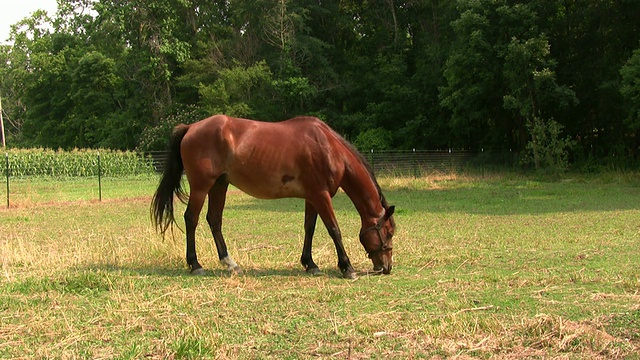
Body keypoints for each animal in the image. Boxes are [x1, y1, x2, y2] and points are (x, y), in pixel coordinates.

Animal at [152, 115, 396, 278]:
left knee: (214, 220)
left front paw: (310, 263)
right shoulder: (321, 196)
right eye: (389, 232)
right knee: (191, 219)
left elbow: (310, 228)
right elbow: (334, 229)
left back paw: (230, 263)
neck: (328, 148)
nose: (386, 267)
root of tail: (190, 127)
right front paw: (347, 267)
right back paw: (195, 265)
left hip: (219, 185)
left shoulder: (312, 197)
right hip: (201, 187)